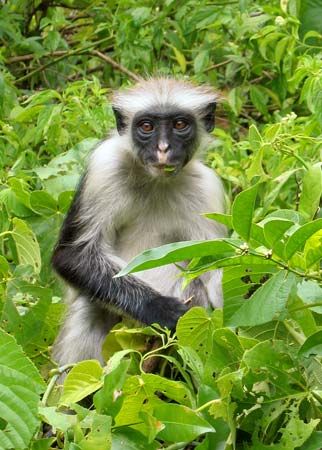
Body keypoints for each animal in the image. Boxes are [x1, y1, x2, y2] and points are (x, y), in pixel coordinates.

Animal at [51, 77, 226, 366]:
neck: (155, 181)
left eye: (180, 124)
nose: (163, 148)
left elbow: (214, 282)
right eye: (146, 126)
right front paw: (158, 309)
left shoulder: (207, 190)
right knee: (89, 306)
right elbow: (71, 255)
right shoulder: (104, 168)